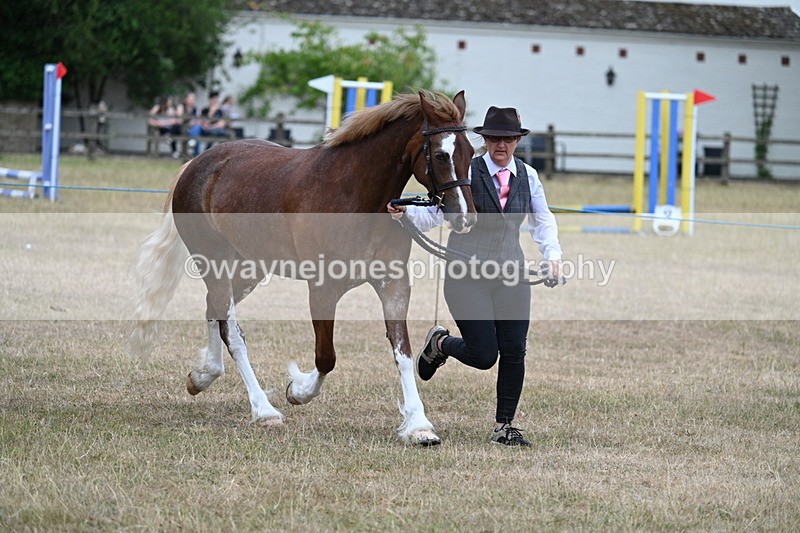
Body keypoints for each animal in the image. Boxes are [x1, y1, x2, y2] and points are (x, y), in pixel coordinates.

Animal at [129, 90, 477, 445]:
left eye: (471, 151)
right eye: (440, 154)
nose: (465, 217)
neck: (357, 195)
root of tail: (196, 164)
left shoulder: (393, 285)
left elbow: (402, 352)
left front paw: (419, 425)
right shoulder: (323, 288)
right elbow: (326, 357)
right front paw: (297, 390)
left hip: (247, 269)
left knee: (214, 310)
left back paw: (203, 376)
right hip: (213, 262)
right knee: (233, 332)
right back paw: (264, 410)